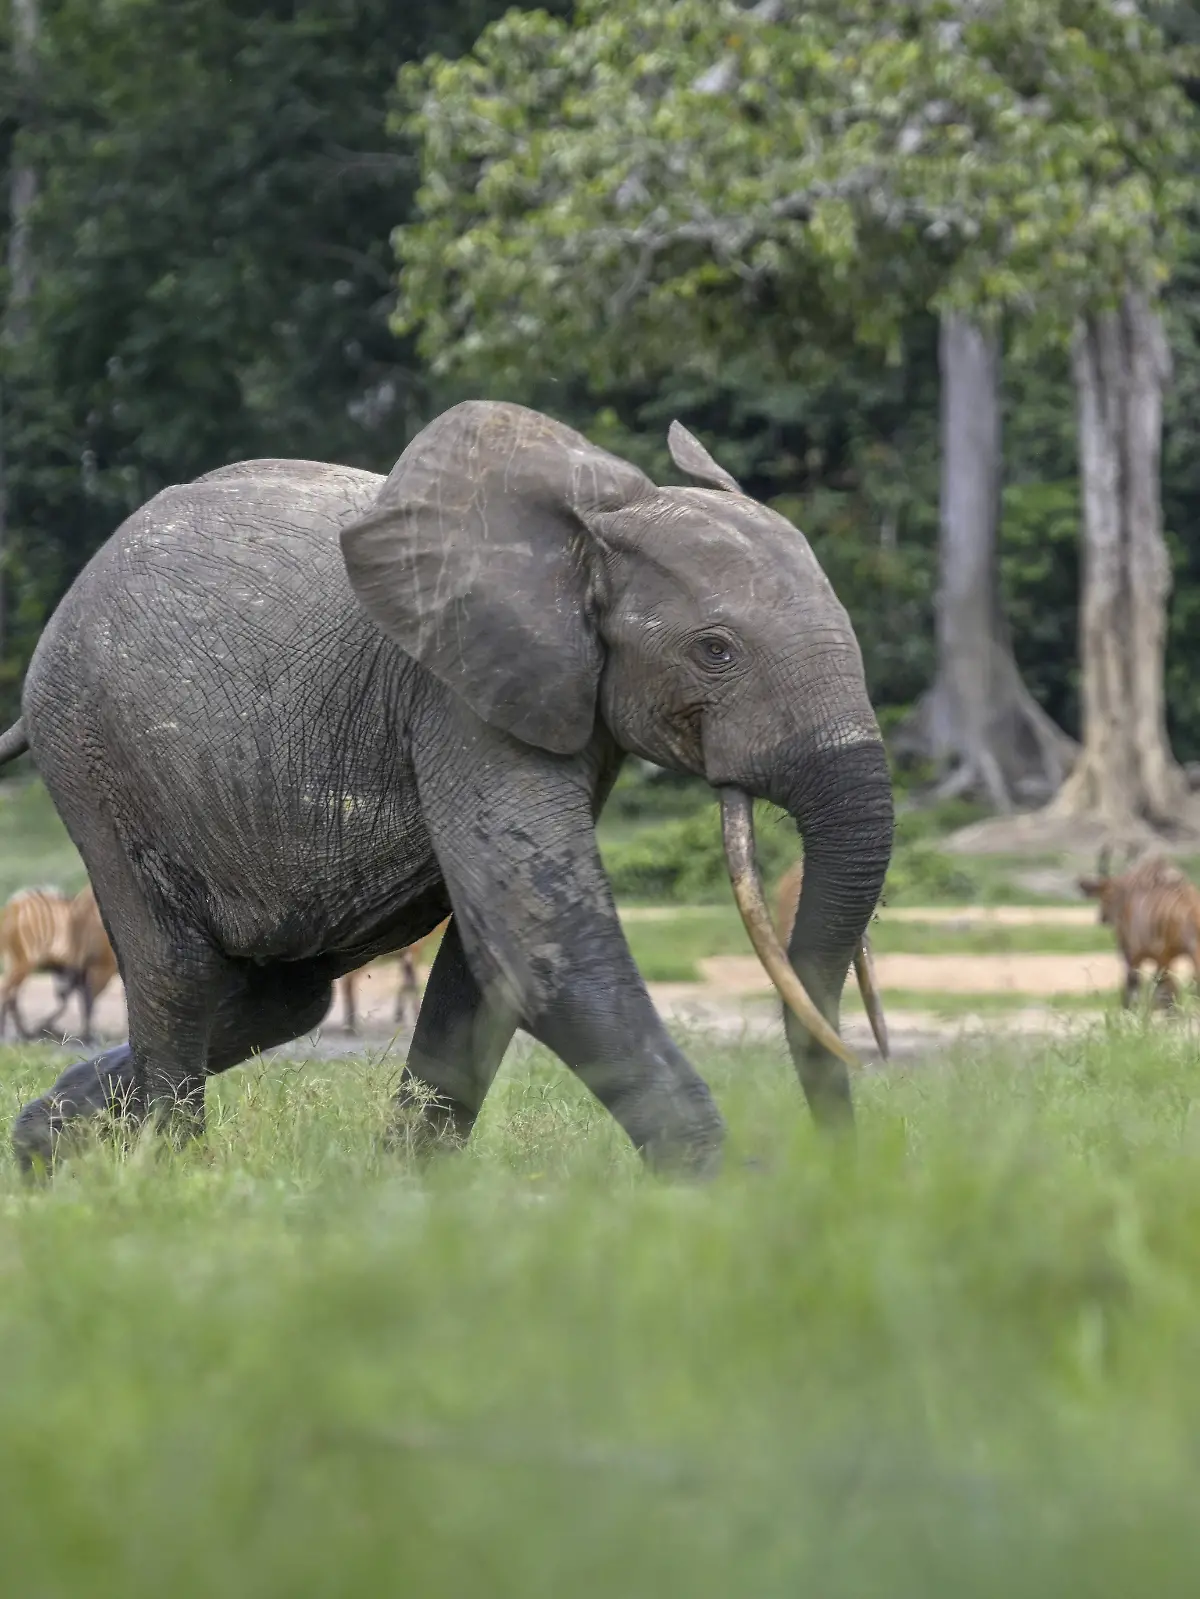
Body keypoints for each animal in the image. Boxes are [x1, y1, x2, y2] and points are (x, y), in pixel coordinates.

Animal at [0, 400, 894, 1176]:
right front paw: (733, 1192)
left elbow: (486, 957)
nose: (845, 1166)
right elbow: (538, 939)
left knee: (285, 996)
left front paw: (412, 1188)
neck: (595, 529)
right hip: (95, 751)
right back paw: (168, 1167)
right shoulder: (456, 692)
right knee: (179, 974)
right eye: (715, 651)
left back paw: (47, 1138)